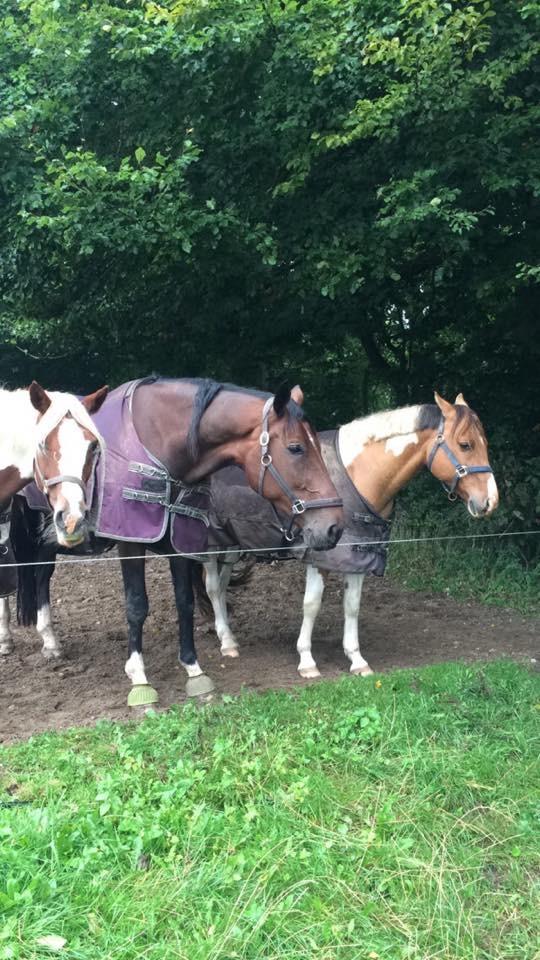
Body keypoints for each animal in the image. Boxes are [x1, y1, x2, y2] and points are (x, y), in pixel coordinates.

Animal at [8, 378, 344, 700]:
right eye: (296, 448)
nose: (334, 527)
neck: (159, 446)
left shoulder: (180, 542)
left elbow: (185, 602)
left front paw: (193, 669)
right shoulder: (131, 540)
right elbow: (136, 605)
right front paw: (139, 677)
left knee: (41, 576)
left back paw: (50, 641)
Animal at [200, 390, 500, 676]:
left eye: (484, 443)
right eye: (465, 444)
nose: (490, 501)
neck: (357, 477)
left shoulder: (358, 555)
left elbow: (352, 605)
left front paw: (356, 659)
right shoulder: (319, 557)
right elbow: (311, 604)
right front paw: (307, 661)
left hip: (232, 545)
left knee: (222, 585)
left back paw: (229, 635)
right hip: (210, 545)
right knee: (213, 587)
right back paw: (226, 642)